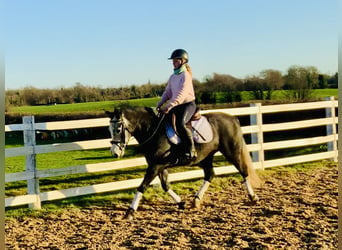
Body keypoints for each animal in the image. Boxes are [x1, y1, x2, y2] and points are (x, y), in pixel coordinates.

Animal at [105, 106, 260, 220]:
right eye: (109, 130)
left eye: (118, 129)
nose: (114, 153)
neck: (153, 131)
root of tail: (233, 118)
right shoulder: (159, 166)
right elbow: (165, 186)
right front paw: (181, 203)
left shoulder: (155, 166)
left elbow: (142, 186)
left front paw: (129, 212)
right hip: (205, 158)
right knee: (210, 175)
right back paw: (195, 200)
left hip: (232, 152)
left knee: (243, 171)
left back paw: (253, 197)